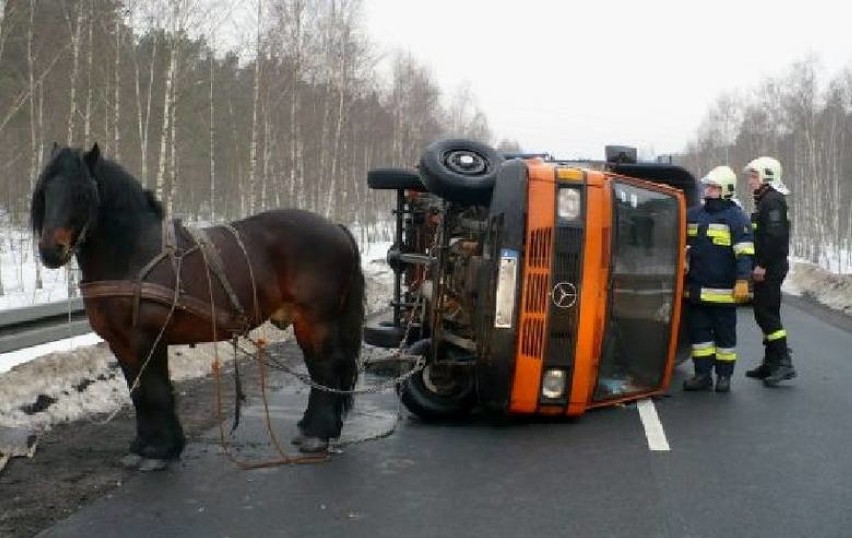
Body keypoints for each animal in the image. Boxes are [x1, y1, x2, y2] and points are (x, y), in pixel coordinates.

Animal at [29, 143, 362, 468]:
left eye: (83, 194)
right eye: (45, 192)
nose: (50, 250)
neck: (131, 254)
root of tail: (336, 227)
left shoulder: (146, 339)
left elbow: (155, 392)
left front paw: (160, 450)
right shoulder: (119, 343)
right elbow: (138, 393)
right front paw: (142, 446)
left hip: (318, 319)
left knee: (327, 367)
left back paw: (318, 435)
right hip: (304, 322)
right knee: (318, 369)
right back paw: (312, 428)